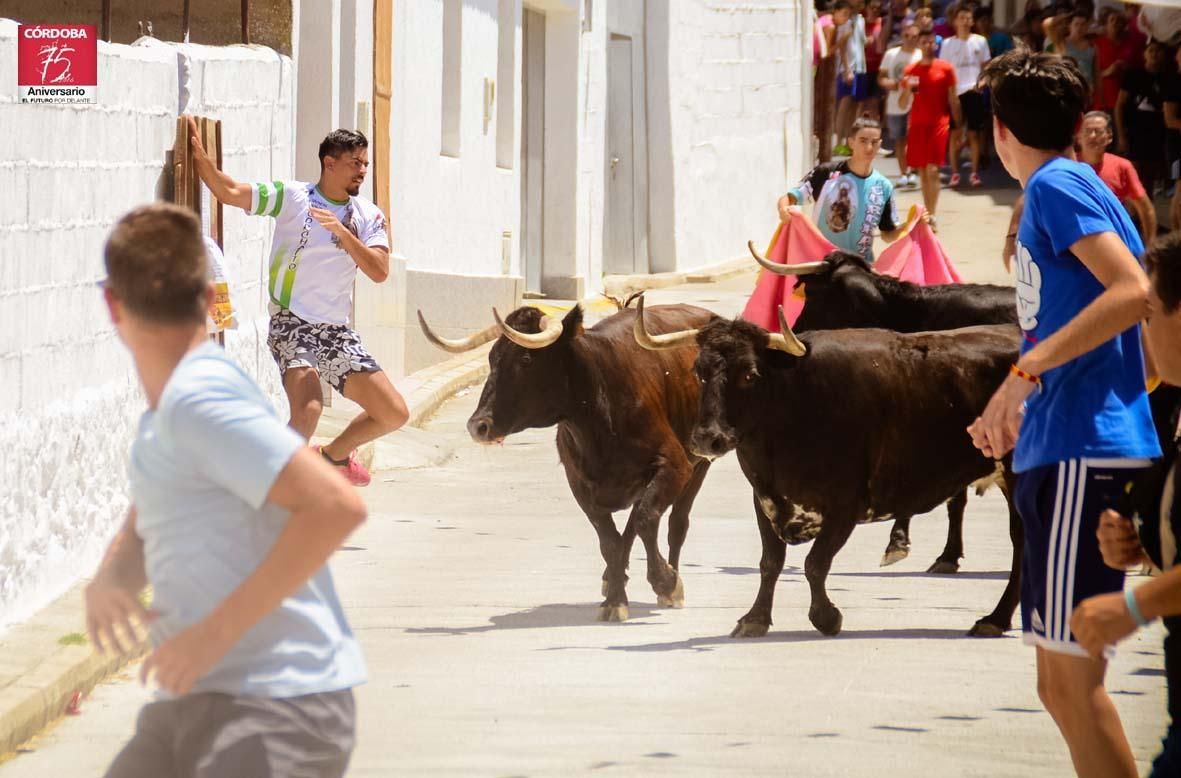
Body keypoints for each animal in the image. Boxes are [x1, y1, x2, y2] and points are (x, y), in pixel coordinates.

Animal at [418, 301, 708, 623]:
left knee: (675, 523)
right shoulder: (580, 484)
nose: (478, 426)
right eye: (492, 357)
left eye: (526, 358)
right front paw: (615, 598)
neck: (601, 414)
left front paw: (665, 582)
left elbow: (646, 520)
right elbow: (610, 540)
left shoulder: (675, 465)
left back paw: (669, 581)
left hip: (699, 463)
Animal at [637, 298, 1025, 637]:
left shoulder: (845, 506)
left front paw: (826, 617)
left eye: (749, 374)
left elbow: (815, 563)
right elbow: (770, 563)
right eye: (699, 372)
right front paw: (755, 619)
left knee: (1023, 546)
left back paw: (994, 619)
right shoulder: (765, 501)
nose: (708, 439)